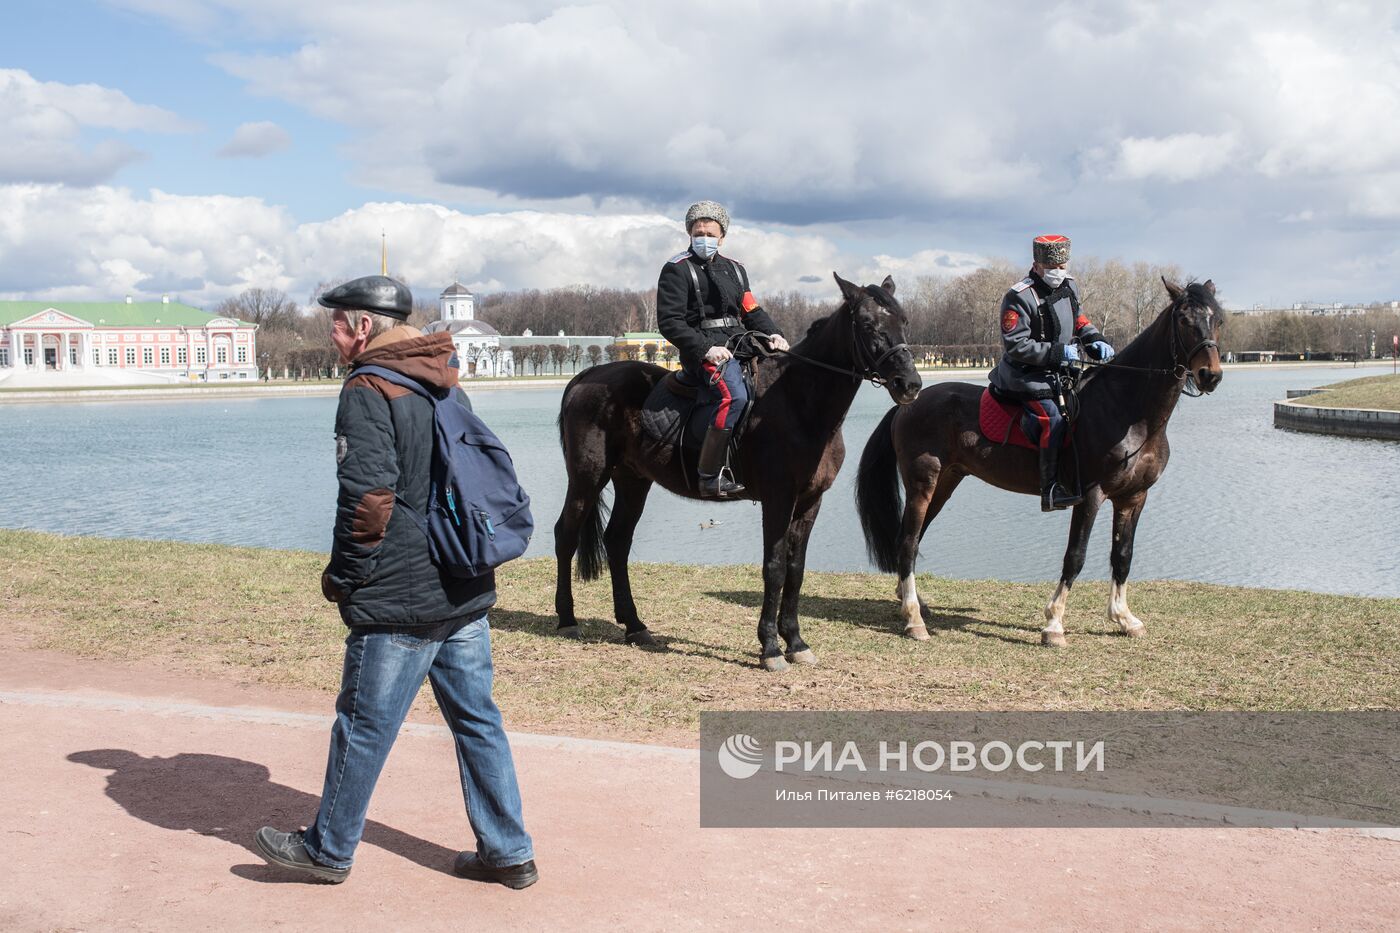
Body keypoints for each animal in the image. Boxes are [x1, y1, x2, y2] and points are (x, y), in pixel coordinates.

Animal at [551, 268, 924, 669]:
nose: (910, 384)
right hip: (588, 477)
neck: (799, 402)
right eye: (868, 324)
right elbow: (774, 568)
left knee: (618, 541)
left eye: (904, 320)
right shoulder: (778, 499)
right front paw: (770, 647)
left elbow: (796, 569)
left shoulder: (810, 502)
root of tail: (585, 377)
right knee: (566, 535)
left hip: (633, 481)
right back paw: (567, 619)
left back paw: (635, 626)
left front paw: (795, 641)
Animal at [851, 275, 1226, 647]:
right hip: (922, 484)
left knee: (912, 539)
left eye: (1218, 320)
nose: (1210, 375)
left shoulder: (1133, 498)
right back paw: (913, 619)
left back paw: (912, 604)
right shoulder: (1090, 495)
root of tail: (909, 402)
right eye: (1184, 320)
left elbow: (1122, 557)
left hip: (943, 485)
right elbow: (1075, 557)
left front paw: (1124, 617)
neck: (1128, 411)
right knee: (907, 542)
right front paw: (1054, 623)